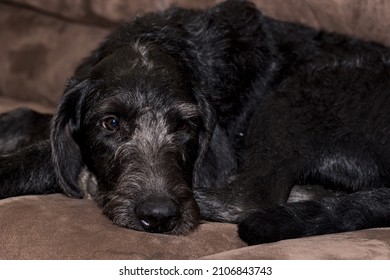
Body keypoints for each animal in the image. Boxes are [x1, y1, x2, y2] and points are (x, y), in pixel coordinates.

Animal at [0, 0, 390, 244]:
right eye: (110, 123)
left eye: (185, 126)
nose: (159, 216)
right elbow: (26, 117)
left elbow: (41, 157)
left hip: (296, 97)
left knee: (250, 198)